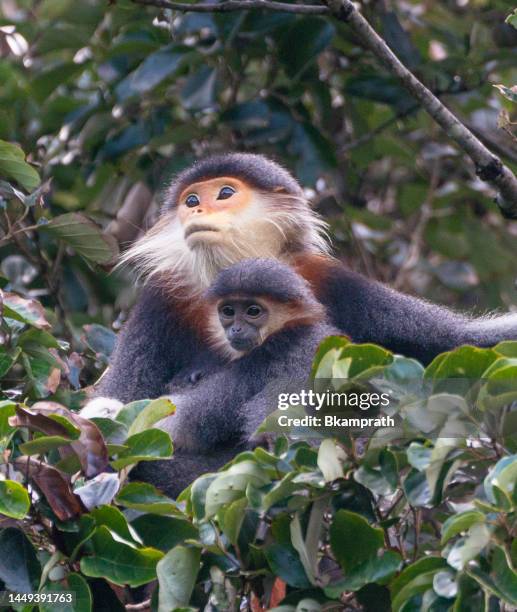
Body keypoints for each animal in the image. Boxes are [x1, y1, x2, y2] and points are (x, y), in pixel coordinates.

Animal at [85, 152, 516, 416]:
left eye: (224, 192)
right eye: (191, 201)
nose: (198, 210)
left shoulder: (328, 279)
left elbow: (453, 342)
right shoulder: (161, 299)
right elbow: (118, 398)